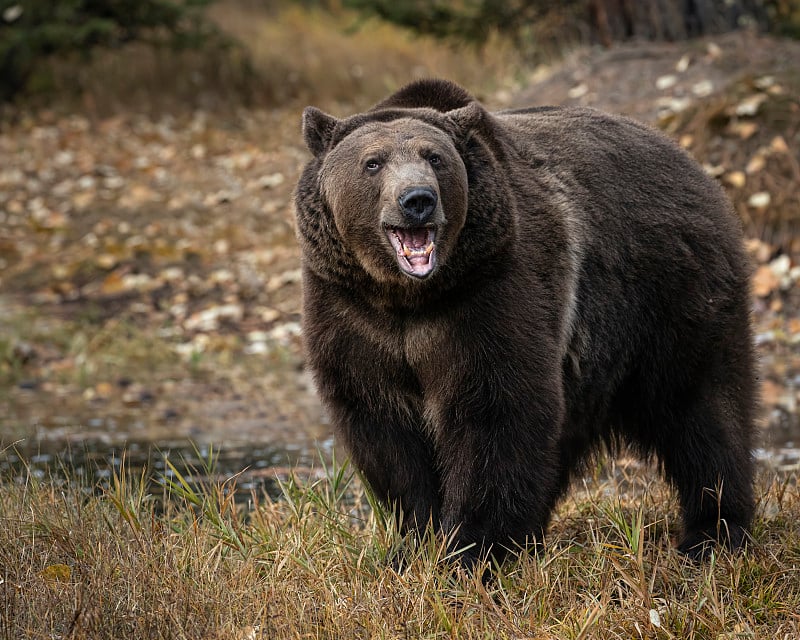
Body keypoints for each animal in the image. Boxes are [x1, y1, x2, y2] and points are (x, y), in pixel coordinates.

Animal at [292, 77, 756, 564]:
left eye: (434, 157)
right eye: (373, 162)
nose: (417, 200)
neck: (408, 297)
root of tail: (689, 160)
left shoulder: (487, 294)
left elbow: (496, 411)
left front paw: (473, 550)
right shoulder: (352, 315)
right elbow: (384, 428)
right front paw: (417, 542)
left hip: (670, 294)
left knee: (702, 409)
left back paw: (713, 533)